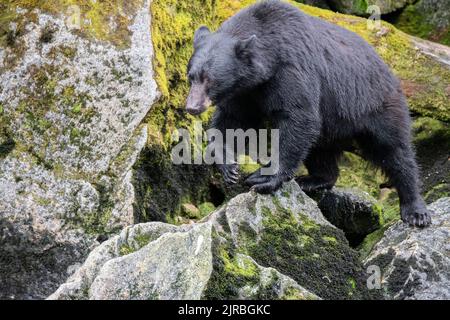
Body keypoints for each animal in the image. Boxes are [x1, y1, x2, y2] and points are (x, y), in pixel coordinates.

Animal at [185, 0, 430, 226]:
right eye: (191, 77)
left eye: (210, 79)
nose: (192, 106)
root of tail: (388, 70)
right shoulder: (243, 92)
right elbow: (232, 121)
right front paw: (229, 166)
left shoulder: (291, 70)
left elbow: (298, 116)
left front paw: (264, 176)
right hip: (332, 124)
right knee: (320, 151)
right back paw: (312, 179)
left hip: (374, 105)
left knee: (394, 151)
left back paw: (415, 210)